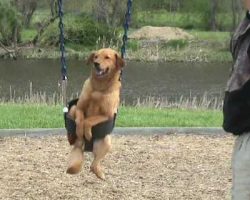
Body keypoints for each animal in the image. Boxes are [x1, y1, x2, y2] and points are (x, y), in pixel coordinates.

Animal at [66, 47, 125, 179]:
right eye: (96, 57)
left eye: (107, 57)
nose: (96, 63)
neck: (99, 88)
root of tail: (84, 146)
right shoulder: (79, 108)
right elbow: (80, 120)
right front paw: (80, 131)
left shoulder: (107, 115)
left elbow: (89, 120)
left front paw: (87, 132)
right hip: (72, 109)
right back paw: (72, 137)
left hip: (107, 142)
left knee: (94, 164)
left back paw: (100, 173)